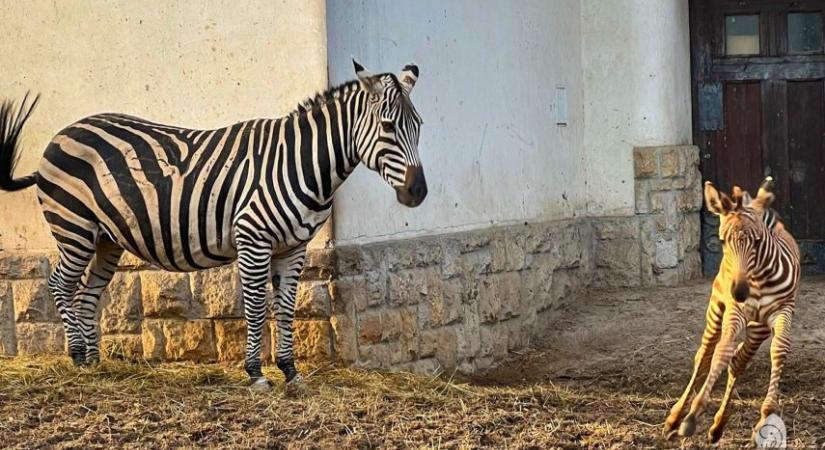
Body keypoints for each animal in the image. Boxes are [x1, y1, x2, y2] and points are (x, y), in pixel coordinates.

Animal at [0, 60, 424, 394]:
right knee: (60, 283)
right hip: (74, 227)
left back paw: (93, 362)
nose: (418, 192)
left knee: (87, 294)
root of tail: (63, 132)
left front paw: (290, 372)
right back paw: (75, 353)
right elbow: (255, 307)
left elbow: (288, 309)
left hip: (107, 239)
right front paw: (256, 374)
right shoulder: (253, 238)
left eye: (418, 126)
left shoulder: (293, 248)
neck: (301, 163)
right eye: (388, 126)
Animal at [664, 177, 800, 442]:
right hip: (717, 309)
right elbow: (721, 352)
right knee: (705, 354)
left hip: (758, 327)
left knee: (738, 360)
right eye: (722, 241)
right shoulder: (734, 312)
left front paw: (766, 415)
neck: (758, 278)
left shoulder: (782, 311)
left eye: (757, 241)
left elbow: (778, 350)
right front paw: (692, 415)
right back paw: (675, 417)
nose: (739, 292)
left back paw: (718, 426)